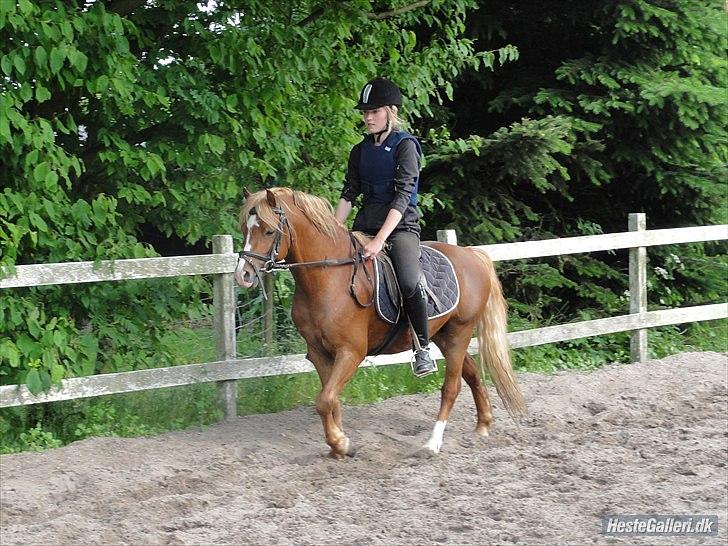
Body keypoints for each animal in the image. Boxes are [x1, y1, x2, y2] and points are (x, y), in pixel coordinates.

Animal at [236, 187, 528, 454]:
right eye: (245, 229)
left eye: (269, 231)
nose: (243, 275)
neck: (329, 280)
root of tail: (472, 255)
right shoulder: (319, 353)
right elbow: (330, 400)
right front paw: (339, 443)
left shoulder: (350, 352)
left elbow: (325, 400)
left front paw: (340, 443)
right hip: (443, 336)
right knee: (472, 373)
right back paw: (483, 425)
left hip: (459, 332)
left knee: (452, 386)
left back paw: (433, 443)